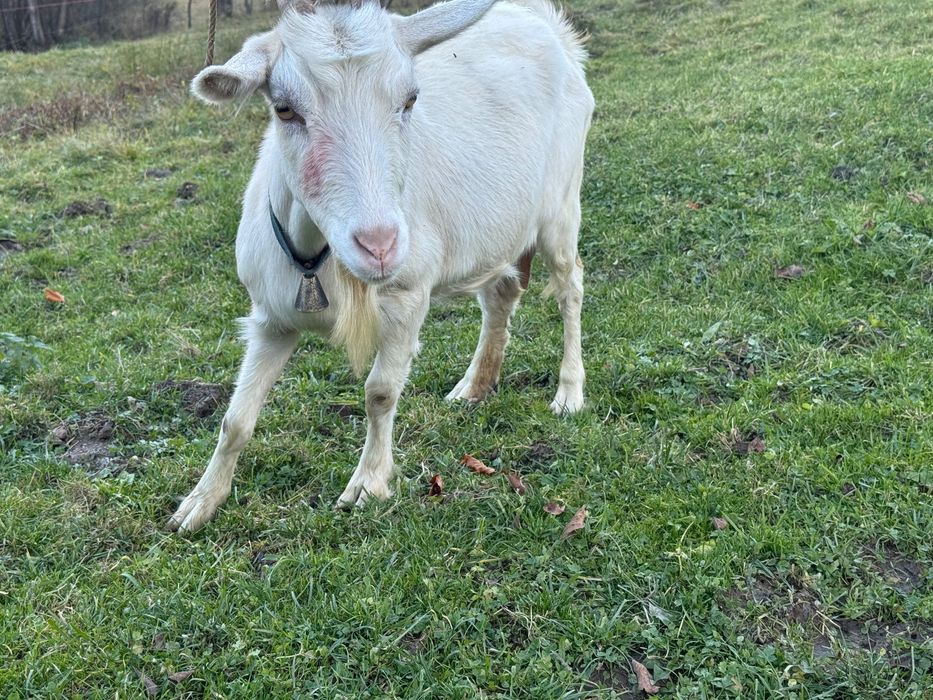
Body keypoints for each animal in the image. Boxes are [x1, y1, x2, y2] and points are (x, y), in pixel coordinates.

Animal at [168, 0, 594, 532]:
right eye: (284, 109)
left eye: (410, 100)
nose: (380, 246)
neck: (318, 261)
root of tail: (550, 26)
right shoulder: (270, 318)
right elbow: (235, 419)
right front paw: (199, 503)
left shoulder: (407, 295)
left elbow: (380, 393)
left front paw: (367, 485)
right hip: (495, 229)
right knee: (500, 295)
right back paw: (475, 386)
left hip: (561, 204)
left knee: (570, 288)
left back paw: (569, 393)